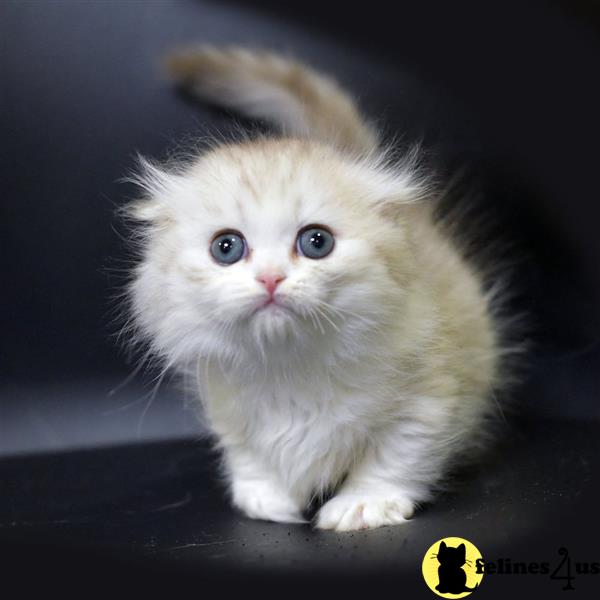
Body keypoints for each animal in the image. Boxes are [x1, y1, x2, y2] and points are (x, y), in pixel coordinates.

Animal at [126, 49, 506, 532]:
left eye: (316, 242)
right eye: (226, 248)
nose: (271, 278)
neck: (291, 368)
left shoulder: (430, 395)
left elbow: (396, 456)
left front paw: (363, 504)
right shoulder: (227, 408)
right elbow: (247, 457)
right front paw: (266, 500)